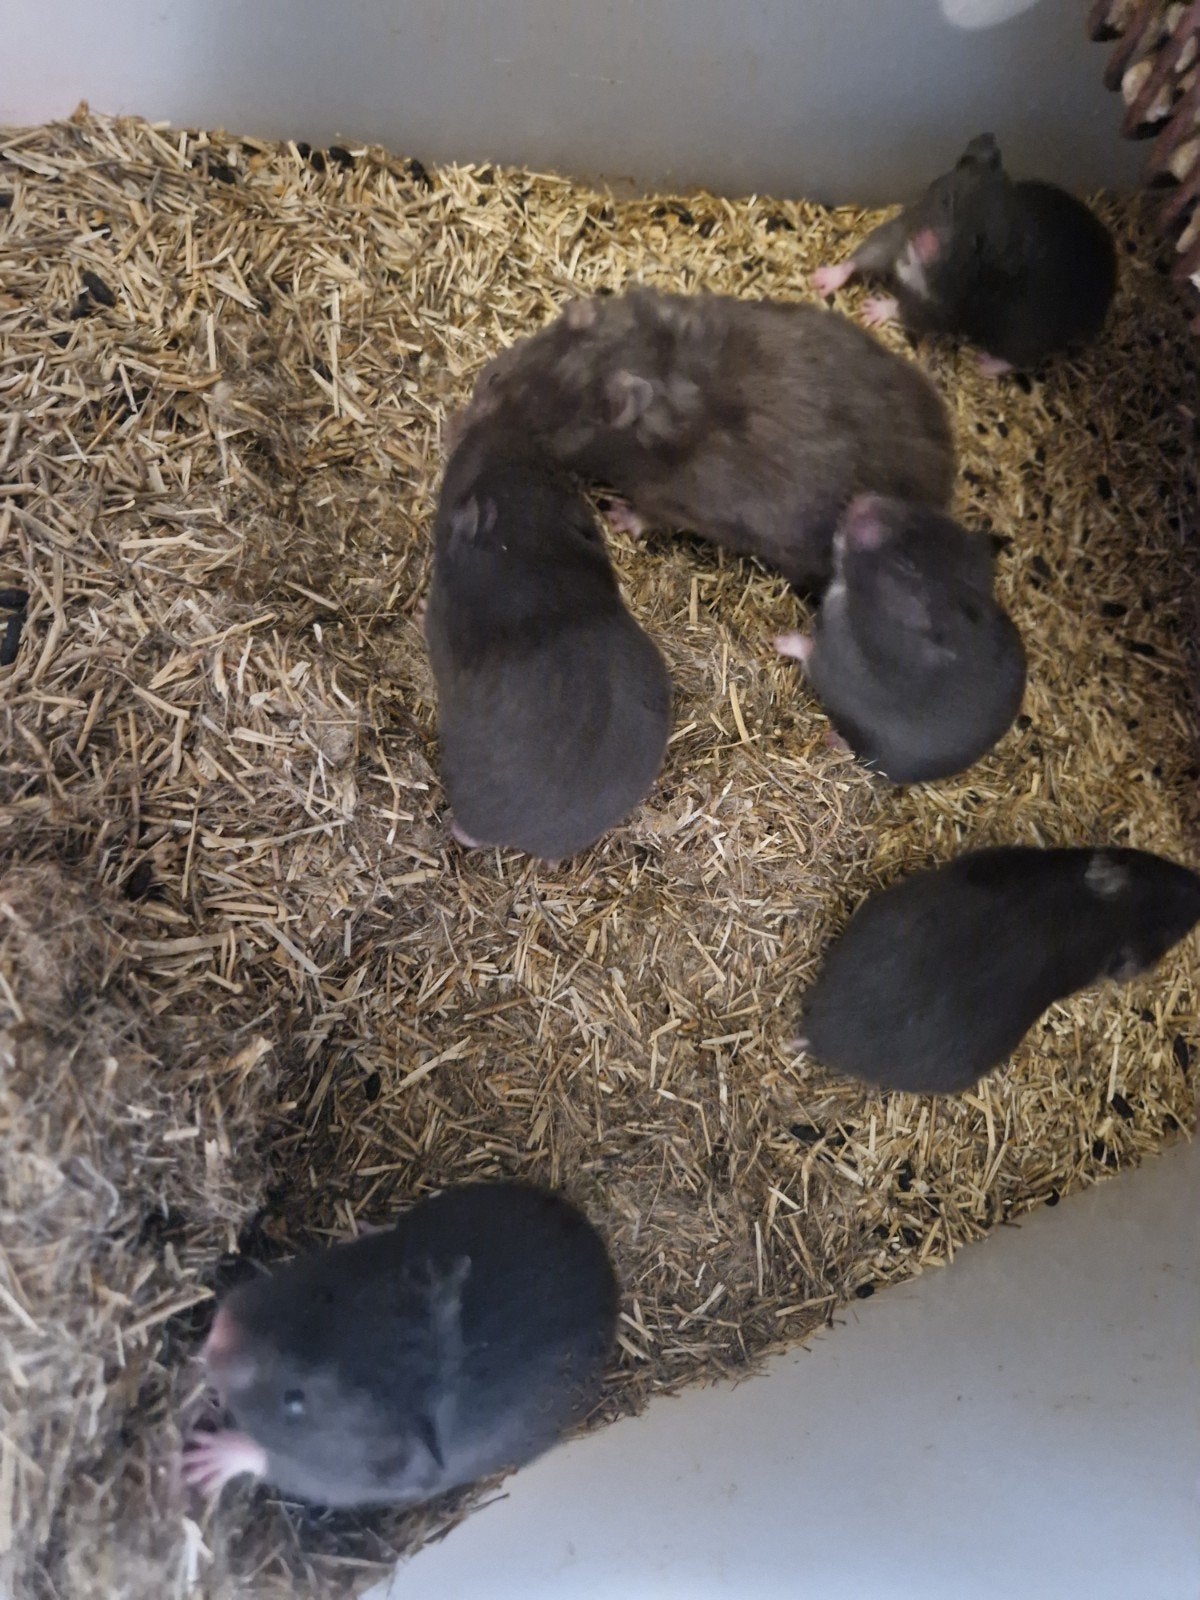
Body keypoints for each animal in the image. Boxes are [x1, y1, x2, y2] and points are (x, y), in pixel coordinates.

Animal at [181, 1180, 620, 1510]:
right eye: (325, 1297)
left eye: (295, 1403)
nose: (217, 1338)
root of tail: (609, 1271)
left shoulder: (330, 1482)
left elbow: (262, 1457)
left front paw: (202, 1461)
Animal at [458, 287, 955, 593]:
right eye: (494, 377)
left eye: (542, 438)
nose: (453, 436)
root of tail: (946, 481)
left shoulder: (677, 501)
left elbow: (651, 516)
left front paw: (618, 517)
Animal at [775, 495, 1026, 783]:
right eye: (929, 518)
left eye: (905, 563)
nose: (862, 500)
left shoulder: (834, 660)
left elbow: (807, 652)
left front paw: (778, 640)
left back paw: (832, 739)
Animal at [811, 133, 1118, 374]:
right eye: (948, 201)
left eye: (977, 243)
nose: (925, 245)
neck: (919, 266)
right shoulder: (899, 234)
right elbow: (864, 255)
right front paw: (819, 280)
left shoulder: (944, 308)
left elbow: (908, 311)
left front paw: (871, 309)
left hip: (1023, 332)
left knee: (1021, 358)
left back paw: (983, 364)